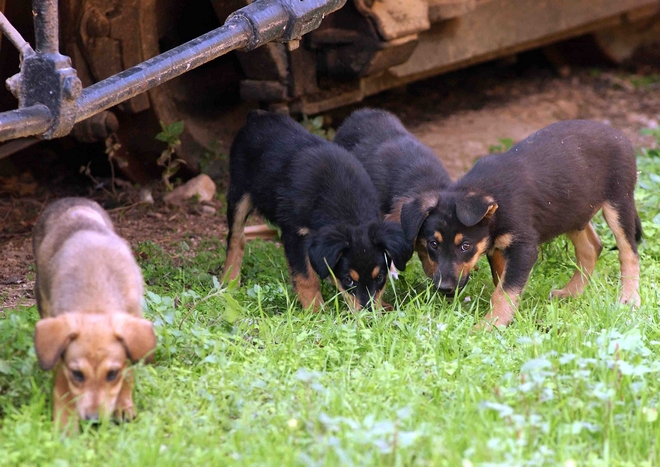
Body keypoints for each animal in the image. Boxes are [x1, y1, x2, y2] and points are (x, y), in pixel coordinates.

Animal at [33, 197, 157, 432]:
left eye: (111, 374)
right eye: (78, 374)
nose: (93, 420)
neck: (95, 303)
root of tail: (72, 199)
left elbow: (128, 372)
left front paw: (123, 406)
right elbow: (62, 386)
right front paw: (65, 426)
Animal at [392, 119, 640, 330]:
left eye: (465, 246)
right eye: (433, 244)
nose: (444, 289)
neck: (491, 199)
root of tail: (617, 133)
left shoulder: (523, 248)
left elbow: (504, 290)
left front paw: (489, 326)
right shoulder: (500, 249)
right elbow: (503, 284)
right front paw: (510, 318)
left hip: (618, 201)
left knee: (629, 253)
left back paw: (629, 299)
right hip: (573, 209)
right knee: (591, 248)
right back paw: (571, 293)